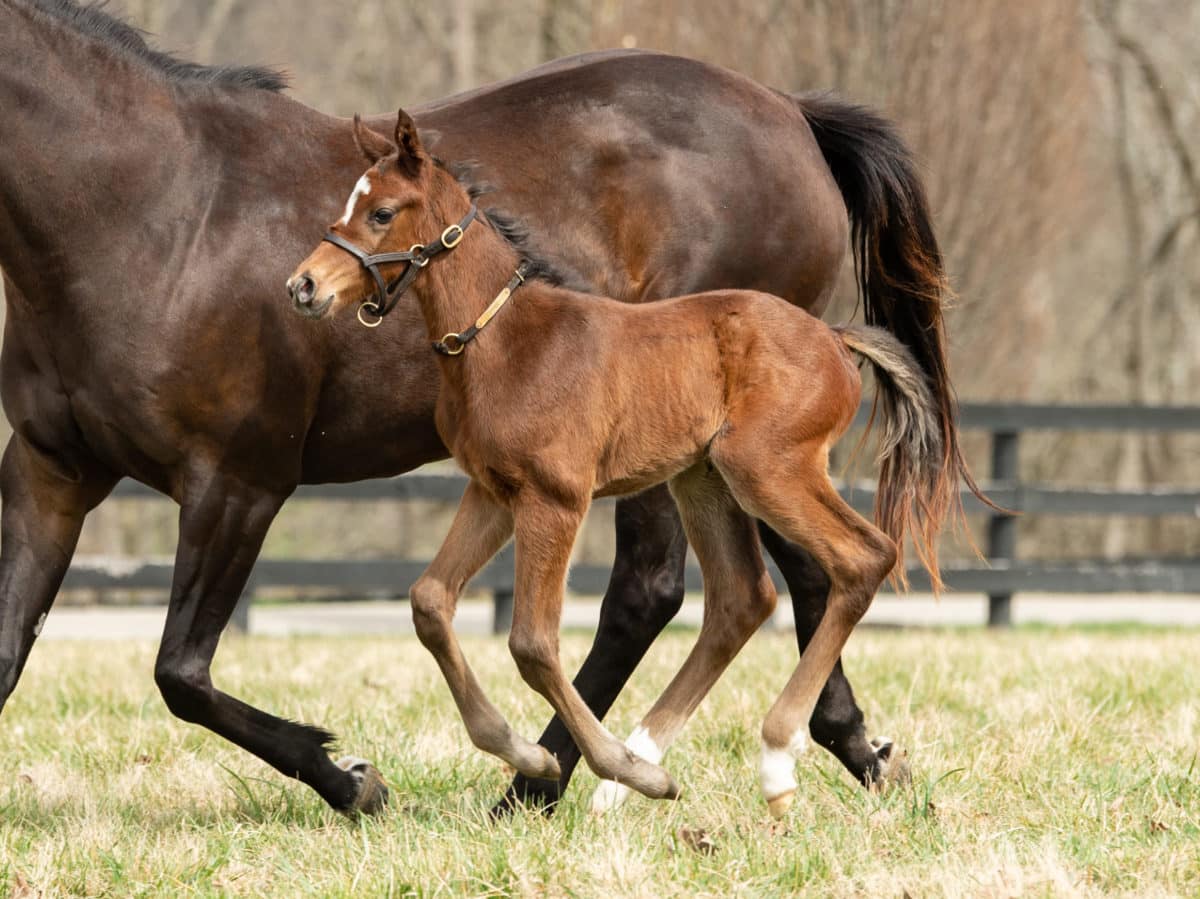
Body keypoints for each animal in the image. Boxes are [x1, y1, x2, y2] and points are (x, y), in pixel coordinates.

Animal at [290, 110, 955, 811]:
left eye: (382, 212)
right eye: (348, 205)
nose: (303, 286)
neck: (504, 340)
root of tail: (834, 337)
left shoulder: (555, 498)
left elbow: (531, 643)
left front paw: (581, 764)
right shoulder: (493, 491)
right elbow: (429, 603)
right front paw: (531, 753)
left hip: (766, 469)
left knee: (863, 557)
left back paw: (764, 759)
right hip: (704, 480)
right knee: (742, 598)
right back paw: (640, 766)